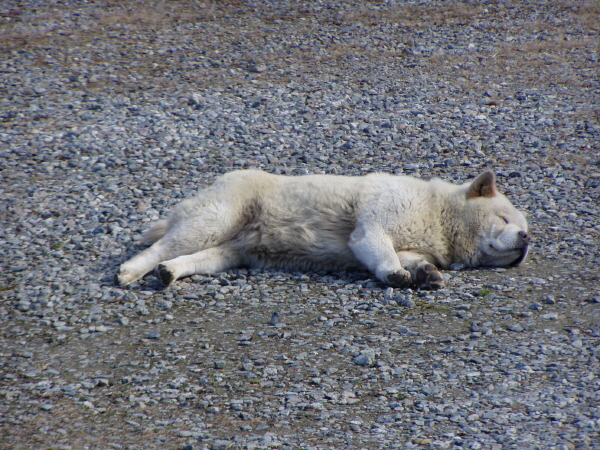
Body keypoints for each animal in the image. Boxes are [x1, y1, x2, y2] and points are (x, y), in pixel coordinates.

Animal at [117, 169, 528, 288]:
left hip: (230, 252)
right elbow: (382, 251)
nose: (525, 239)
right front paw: (395, 275)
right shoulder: (373, 223)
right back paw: (130, 271)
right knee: (165, 244)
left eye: (526, 230)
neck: (439, 214)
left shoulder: (415, 245)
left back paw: (169, 272)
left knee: (195, 258)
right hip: (219, 216)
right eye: (504, 219)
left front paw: (427, 274)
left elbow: (413, 259)